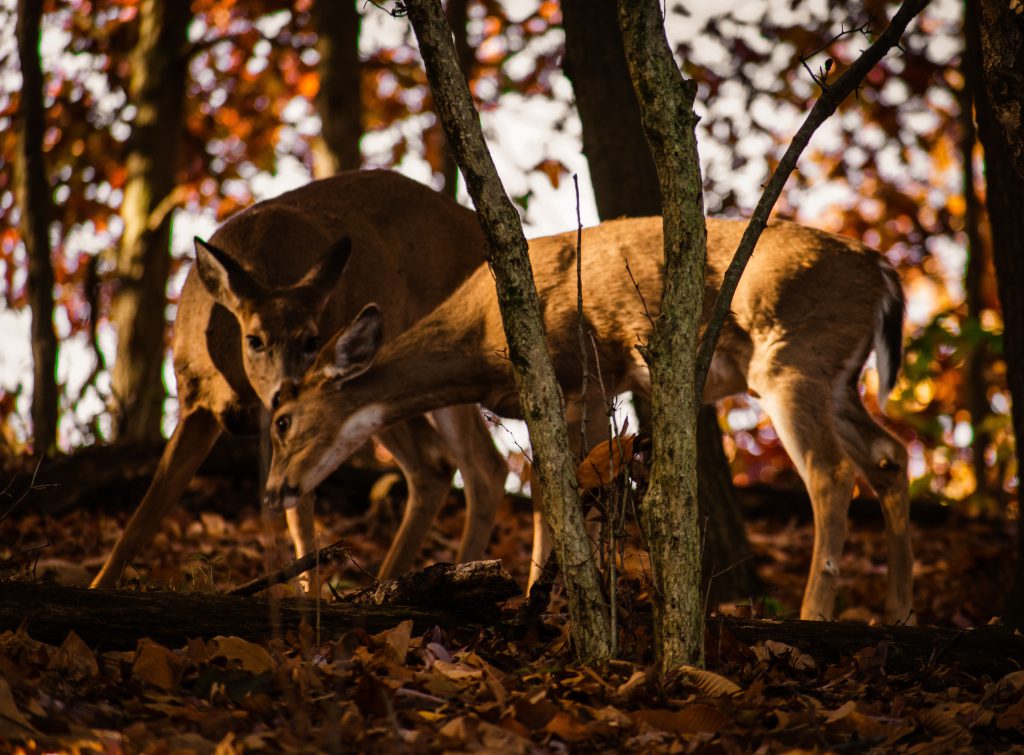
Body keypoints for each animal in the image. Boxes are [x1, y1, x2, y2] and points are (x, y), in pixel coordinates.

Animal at [92, 171, 507, 590]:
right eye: (254, 339)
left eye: (312, 339)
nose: (286, 389)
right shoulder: (195, 402)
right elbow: (146, 512)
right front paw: (99, 586)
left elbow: (300, 516)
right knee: (437, 464)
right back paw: (390, 580)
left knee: (478, 466)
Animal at [262, 215, 913, 622]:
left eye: (283, 419)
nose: (273, 491)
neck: (479, 338)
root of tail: (885, 273)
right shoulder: (571, 393)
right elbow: (556, 487)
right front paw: (544, 594)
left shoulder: (586, 377)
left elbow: (572, 492)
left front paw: (570, 598)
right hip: (837, 379)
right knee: (890, 455)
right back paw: (897, 613)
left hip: (794, 359)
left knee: (832, 473)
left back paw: (815, 611)